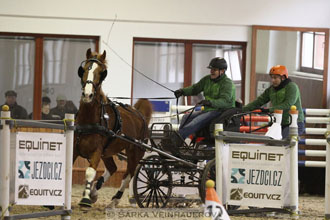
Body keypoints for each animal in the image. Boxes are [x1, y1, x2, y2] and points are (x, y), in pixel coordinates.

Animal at [74, 48, 153, 208]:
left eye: (102, 73)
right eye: (84, 70)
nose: (87, 94)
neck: (90, 119)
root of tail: (139, 115)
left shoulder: (96, 151)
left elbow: (90, 172)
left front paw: (85, 199)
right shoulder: (75, 148)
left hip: (135, 152)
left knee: (128, 174)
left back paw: (114, 200)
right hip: (108, 152)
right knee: (113, 168)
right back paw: (95, 192)